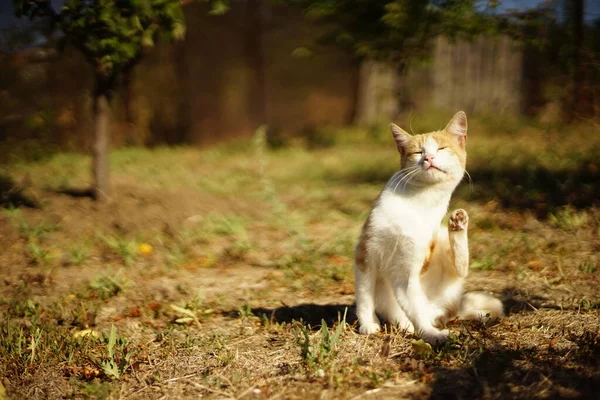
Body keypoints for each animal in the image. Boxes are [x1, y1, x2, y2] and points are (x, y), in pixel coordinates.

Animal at [354, 111, 504, 344]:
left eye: (441, 148)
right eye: (418, 151)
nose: (429, 158)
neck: (418, 201)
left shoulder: (406, 271)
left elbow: (416, 310)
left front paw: (431, 334)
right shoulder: (366, 255)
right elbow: (365, 296)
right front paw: (368, 324)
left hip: (440, 240)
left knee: (460, 268)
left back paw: (458, 224)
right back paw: (405, 325)